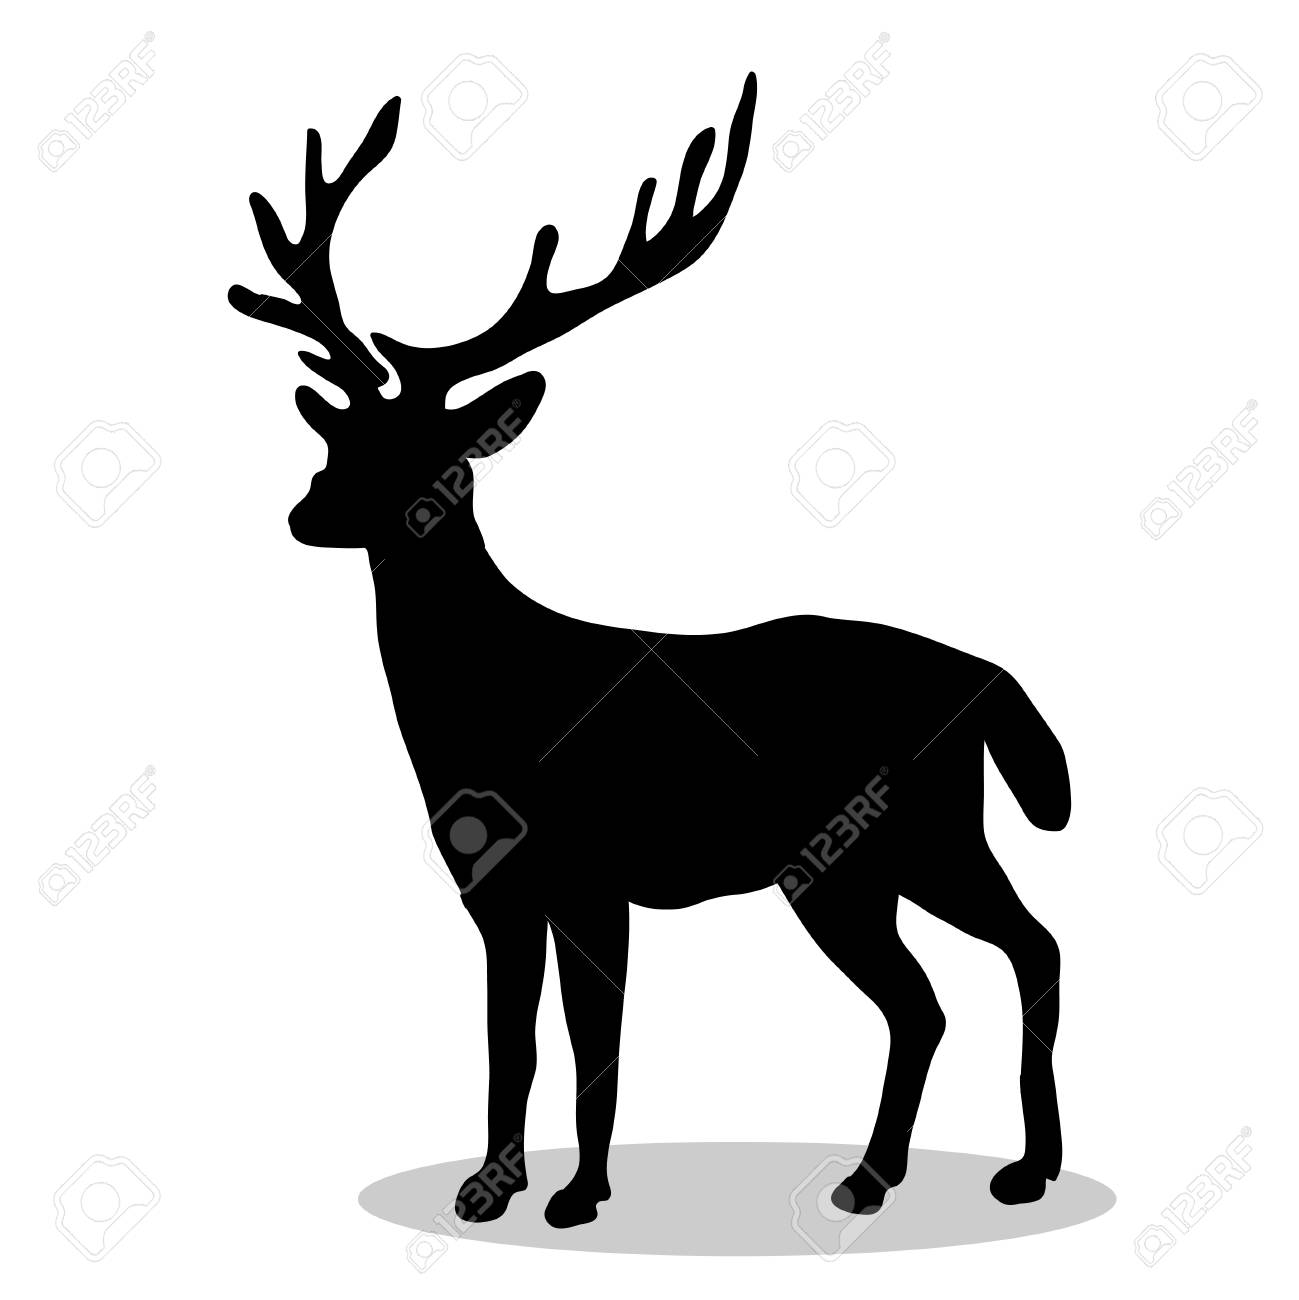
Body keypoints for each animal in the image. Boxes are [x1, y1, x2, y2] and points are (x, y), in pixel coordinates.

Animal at [229, 72, 1070, 1231]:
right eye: (337, 437)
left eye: (432, 452)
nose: (307, 512)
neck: (485, 703)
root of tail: (993, 684)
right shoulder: (491, 884)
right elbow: (510, 1038)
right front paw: (490, 1184)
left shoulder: (591, 872)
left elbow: (596, 1041)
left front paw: (577, 1194)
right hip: (872, 863)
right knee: (941, 991)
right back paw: (886, 1175)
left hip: (907, 838)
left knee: (1010, 956)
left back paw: (1009, 1170)